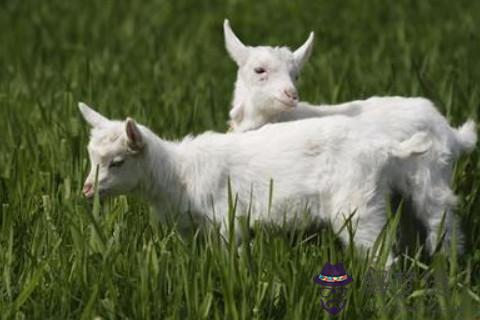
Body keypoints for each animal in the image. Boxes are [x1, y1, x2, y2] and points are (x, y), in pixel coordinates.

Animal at [222, 19, 476, 255]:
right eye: (259, 70)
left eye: (296, 75)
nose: (291, 94)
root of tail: (449, 129)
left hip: (431, 174)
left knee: (440, 217)